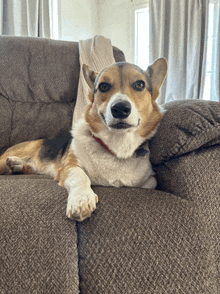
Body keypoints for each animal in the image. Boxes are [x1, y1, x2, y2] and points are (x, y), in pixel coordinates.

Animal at [0, 58, 167, 222]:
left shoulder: (150, 181)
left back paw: (15, 164)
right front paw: (81, 200)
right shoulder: (70, 166)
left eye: (139, 85)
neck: (115, 148)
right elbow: (81, 177)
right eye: (104, 86)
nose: (120, 108)